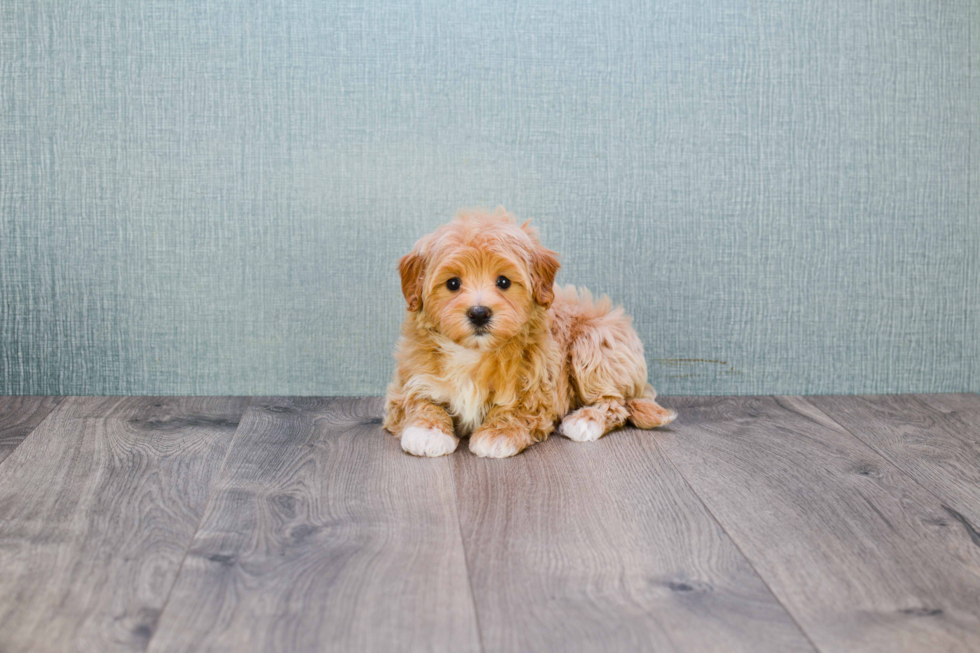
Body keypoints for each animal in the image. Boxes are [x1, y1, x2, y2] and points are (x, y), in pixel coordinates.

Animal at [382, 206, 672, 456]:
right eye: (453, 283)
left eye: (503, 282)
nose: (479, 313)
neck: (473, 354)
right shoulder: (411, 380)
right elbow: (419, 402)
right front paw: (427, 432)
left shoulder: (538, 385)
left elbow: (518, 409)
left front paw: (498, 434)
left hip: (594, 343)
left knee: (615, 402)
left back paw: (586, 420)